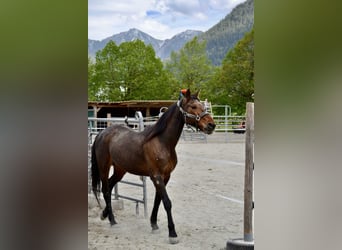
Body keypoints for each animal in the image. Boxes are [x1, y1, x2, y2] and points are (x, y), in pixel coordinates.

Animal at [89, 89, 215, 243]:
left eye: (203, 106)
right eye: (193, 106)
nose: (211, 125)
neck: (162, 142)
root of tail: (102, 133)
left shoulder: (165, 177)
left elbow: (158, 201)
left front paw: (154, 224)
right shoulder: (156, 176)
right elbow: (167, 202)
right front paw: (172, 233)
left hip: (120, 169)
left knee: (111, 185)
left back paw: (104, 214)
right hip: (104, 167)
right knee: (106, 190)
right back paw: (112, 221)